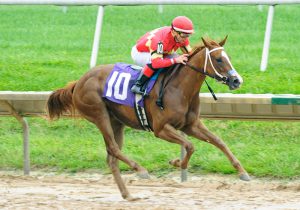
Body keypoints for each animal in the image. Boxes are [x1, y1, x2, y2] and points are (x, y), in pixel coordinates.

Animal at [47, 37, 248, 201]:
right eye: (219, 59)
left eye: (228, 57)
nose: (237, 81)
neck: (179, 88)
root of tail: (78, 82)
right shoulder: (161, 129)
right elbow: (190, 146)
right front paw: (176, 162)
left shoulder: (191, 125)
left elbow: (218, 141)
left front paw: (242, 172)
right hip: (99, 114)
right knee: (113, 148)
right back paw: (141, 171)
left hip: (116, 122)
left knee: (112, 157)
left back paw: (128, 195)